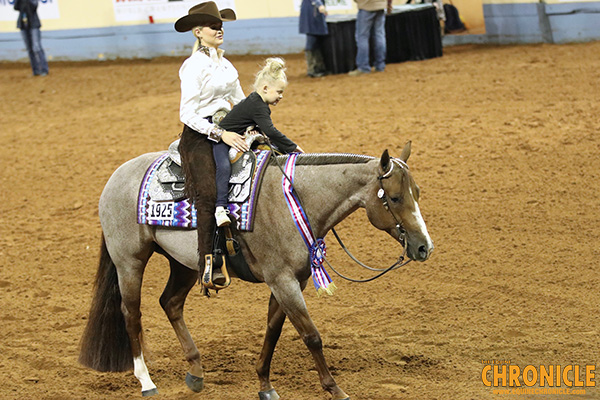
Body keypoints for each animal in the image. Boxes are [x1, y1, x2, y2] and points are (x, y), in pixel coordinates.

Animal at [79, 141, 434, 400]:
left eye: (418, 193)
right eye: (395, 197)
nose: (424, 247)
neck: (294, 200)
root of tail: (114, 178)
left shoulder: (292, 282)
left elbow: (274, 330)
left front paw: (265, 384)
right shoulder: (283, 281)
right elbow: (311, 336)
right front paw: (335, 389)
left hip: (184, 262)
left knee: (171, 303)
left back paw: (196, 371)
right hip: (129, 262)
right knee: (131, 313)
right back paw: (146, 381)